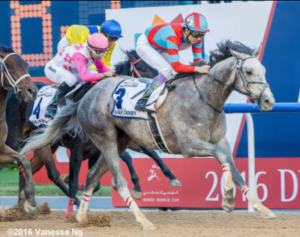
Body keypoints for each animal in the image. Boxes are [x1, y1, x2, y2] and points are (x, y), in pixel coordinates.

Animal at [21, 40, 276, 230]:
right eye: (249, 71)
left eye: (264, 70)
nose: (268, 101)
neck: (203, 96)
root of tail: (85, 97)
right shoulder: (189, 145)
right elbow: (222, 158)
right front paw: (228, 199)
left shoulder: (219, 140)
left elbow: (235, 169)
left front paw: (263, 209)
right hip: (105, 139)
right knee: (116, 181)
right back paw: (143, 220)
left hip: (118, 142)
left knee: (92, 175)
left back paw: (80, 216)